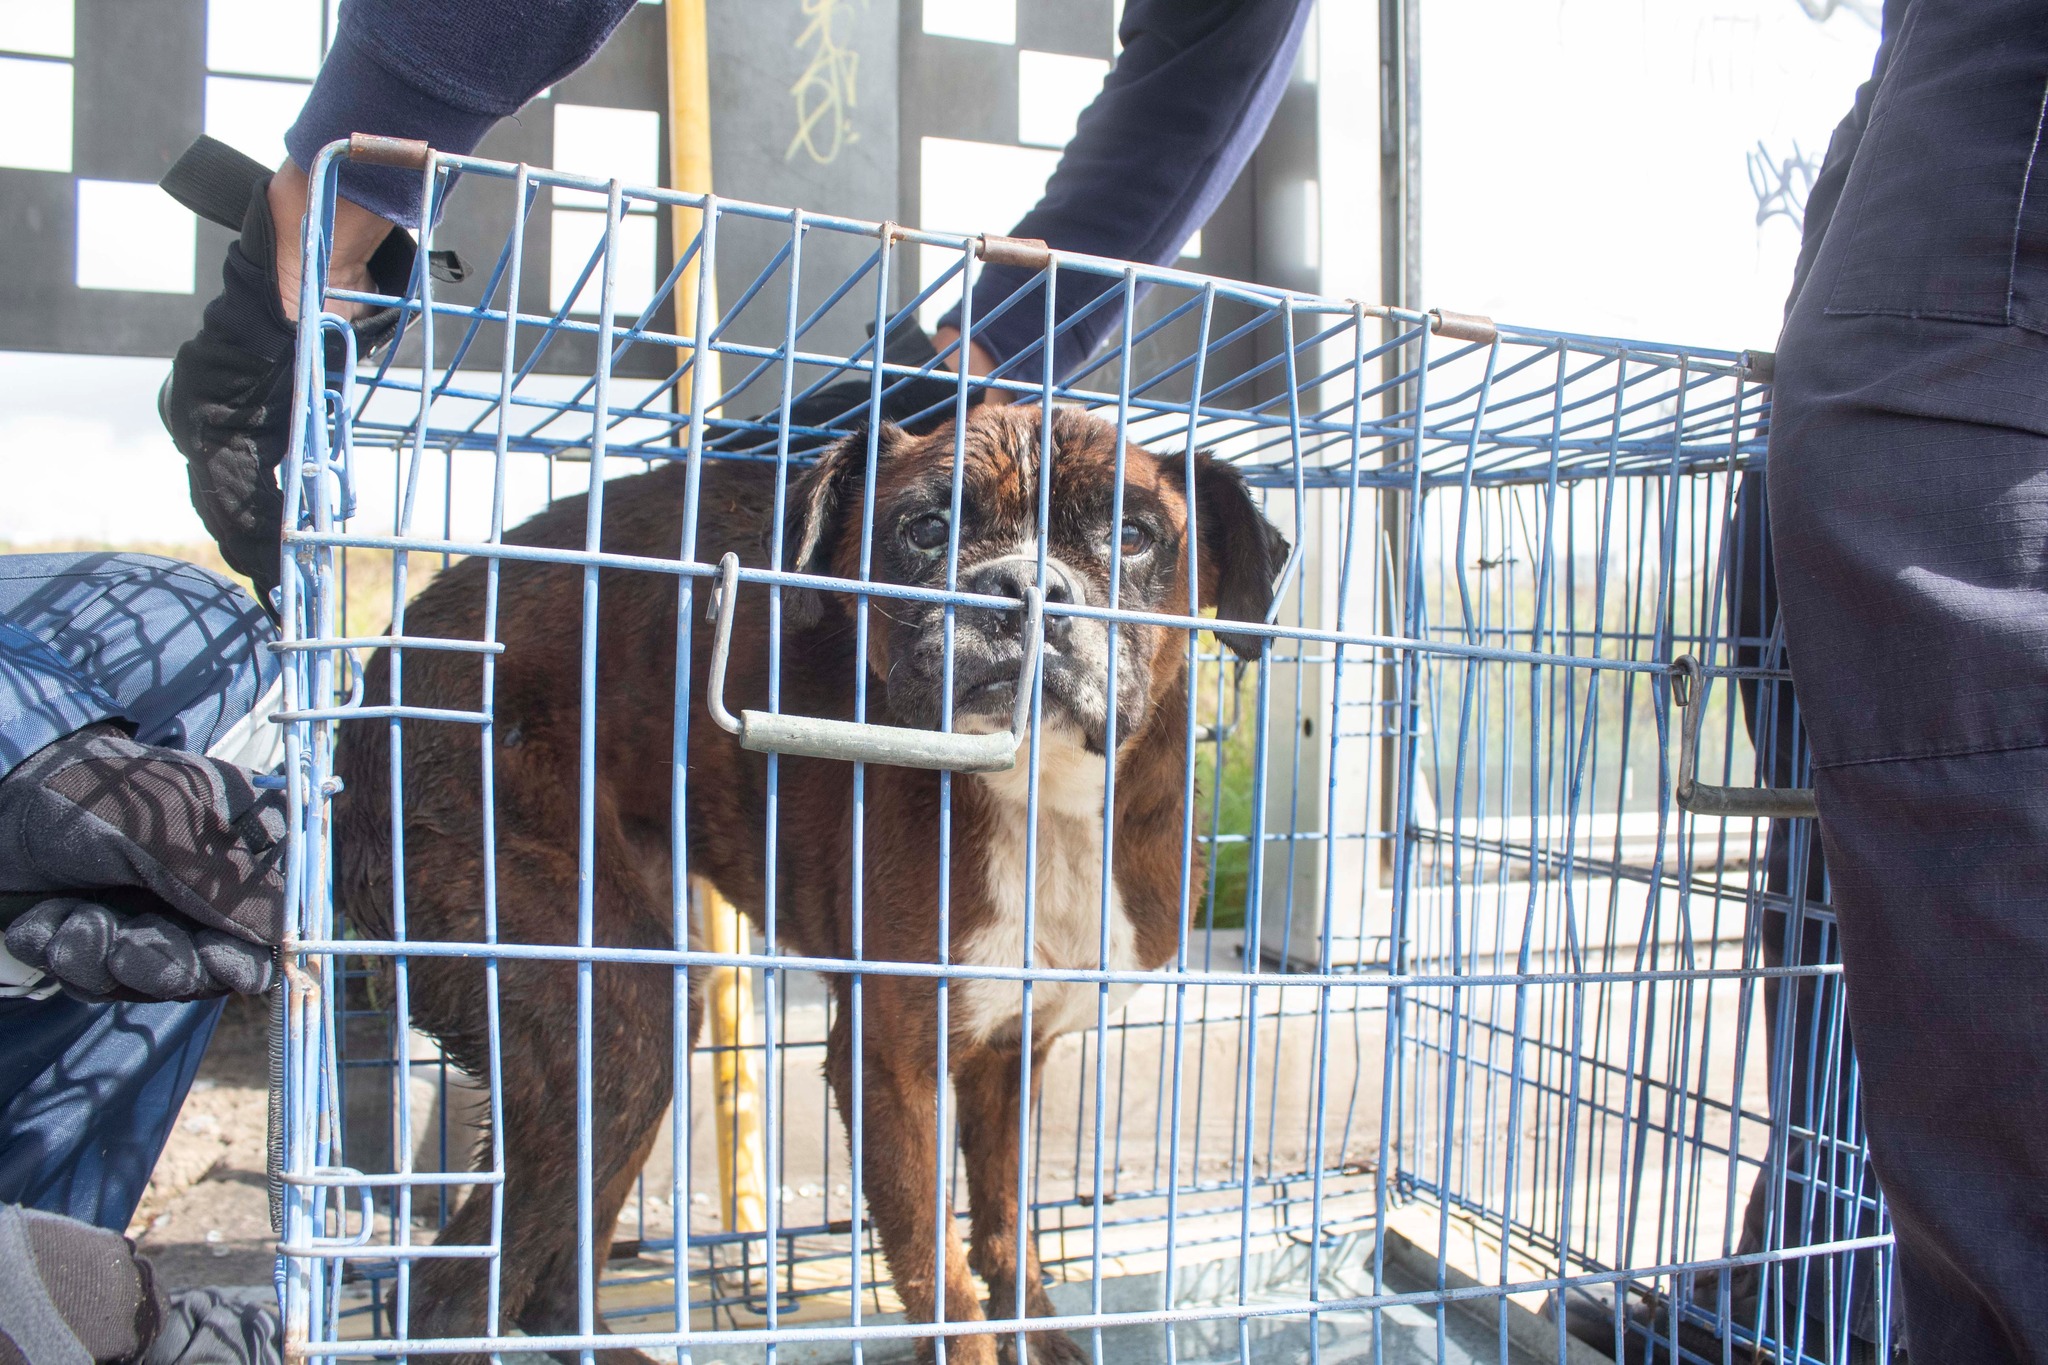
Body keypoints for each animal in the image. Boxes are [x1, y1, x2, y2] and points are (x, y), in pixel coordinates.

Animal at [342, 401, 1286, 1358]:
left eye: (1132, 534)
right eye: (926, 528)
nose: (1020, 587)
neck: (1037, 798)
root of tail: (378, 676)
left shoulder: (1013, 1053)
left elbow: (1004, 1227)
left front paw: (1040, 1332)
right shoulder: (888, 1066)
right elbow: (940, 1279)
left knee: (556, 1266)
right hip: (606, 1010)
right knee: (453, 1295)